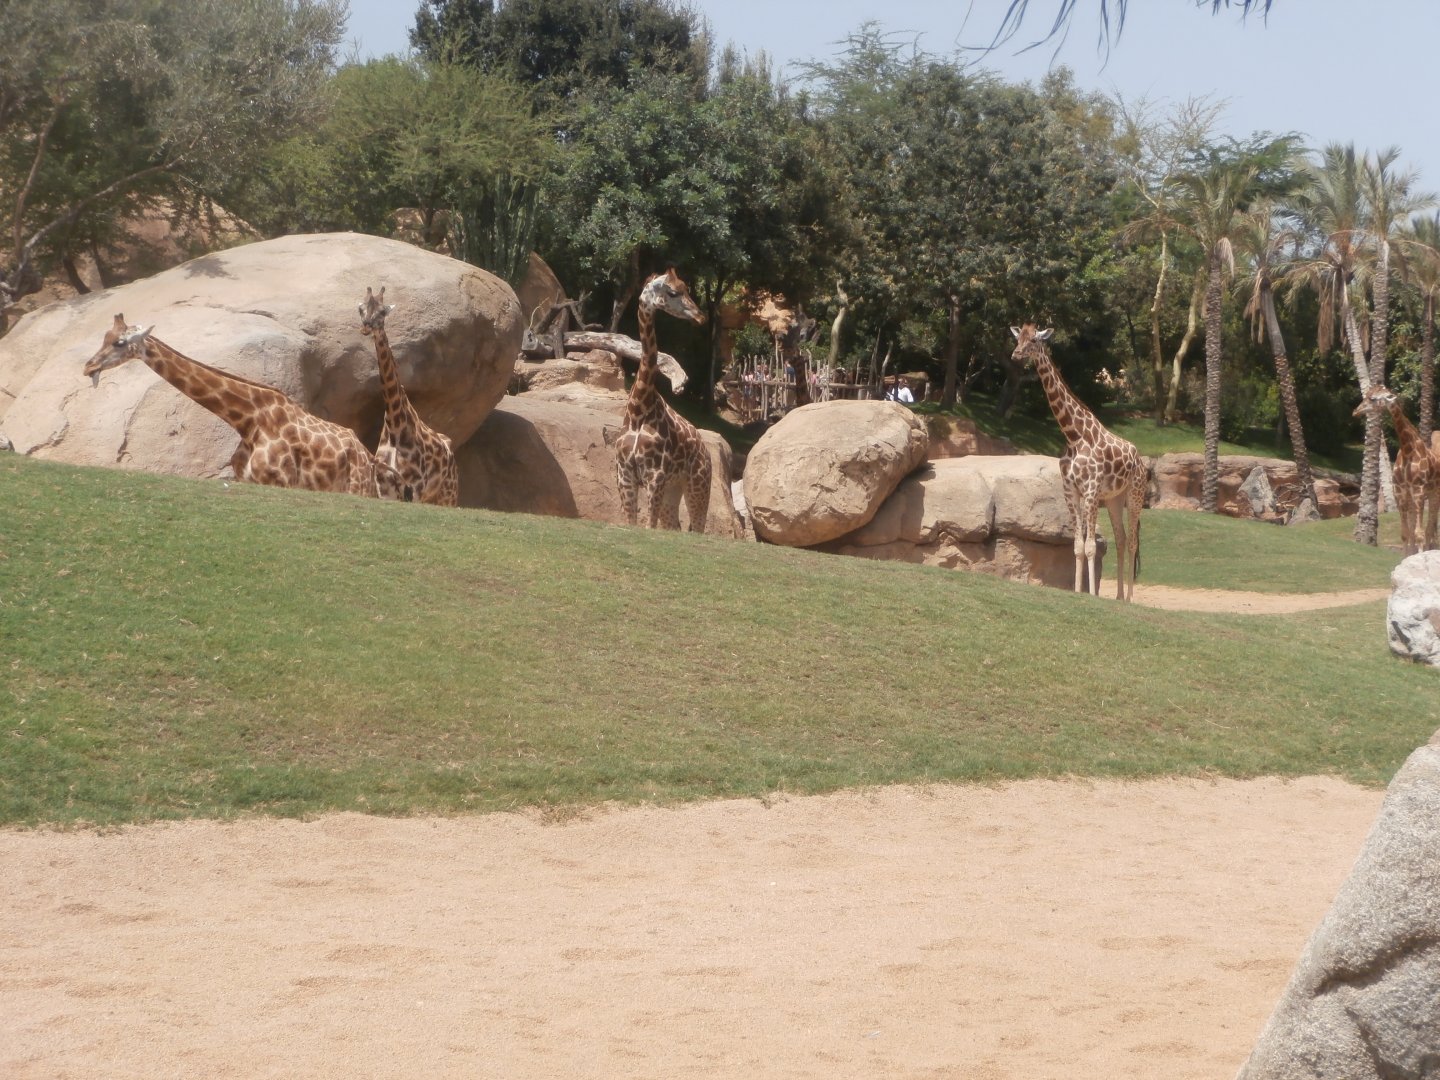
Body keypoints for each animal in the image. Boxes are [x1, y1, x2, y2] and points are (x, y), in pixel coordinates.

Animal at [84, 314, 400, 499]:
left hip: (358, 487)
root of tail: (367, 454)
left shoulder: (282, 482)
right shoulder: (248, 480)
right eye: (104, 338)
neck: (248, 421)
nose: (89, 367)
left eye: (120, 342)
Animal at [357, 286, 459, 506]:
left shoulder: (415, 487)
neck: (395, 427)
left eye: (382, 312)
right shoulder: (384, 487)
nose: (366, 327)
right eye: (361, 309)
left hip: (448, 494)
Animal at [614, 268, 711, 531]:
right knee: (674, 526)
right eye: (673, 292)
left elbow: (649, 526)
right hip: (672, 489)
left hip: (698, 487)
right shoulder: (625, 475)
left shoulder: (654, 477)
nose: (701, 317)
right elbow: (633, 524)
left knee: (697, 528)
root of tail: (707, 452)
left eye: (687, 288)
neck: (638, 408)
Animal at [1010, 324, 1147, 601]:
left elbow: (1091, 546)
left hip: (1135, 494)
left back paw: (1129, 598)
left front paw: (1092, 594)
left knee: (1132, 542)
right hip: (1114, 499)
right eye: (1018, 339)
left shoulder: (1092, 490)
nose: (1016, 355)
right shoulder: (1071, 490)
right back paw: (1118, 597)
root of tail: (1140, 459)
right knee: (1121, 538)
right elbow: (1077, 546)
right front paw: (1077, 591)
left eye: (1034, 341)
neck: (1073, 436)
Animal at [1353, 385, 1440, 554]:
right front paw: (1406, 556)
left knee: (1430, 528)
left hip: (1435, 494)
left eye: (1373, 399)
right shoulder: (1399, 492)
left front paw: (1419, 556)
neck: (1408, 450)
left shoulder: (1419, 492)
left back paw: (1429, 550)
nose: (1355, 411)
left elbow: (1419, 533)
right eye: (1367, 395)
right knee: (1425, 528)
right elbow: (1406, 533)